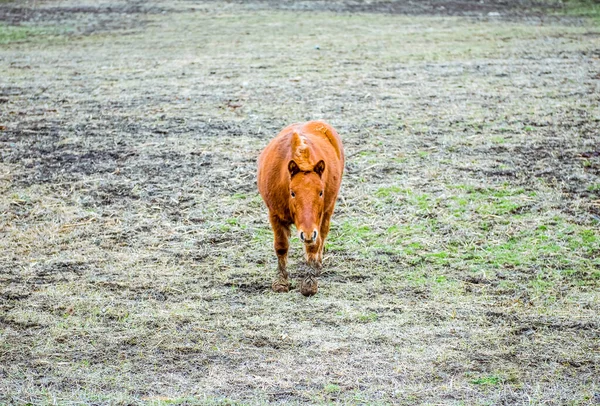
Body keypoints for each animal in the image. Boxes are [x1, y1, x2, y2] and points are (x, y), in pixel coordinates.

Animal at [255, 119, 344, 294]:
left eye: (321, 192)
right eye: (293, 193)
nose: (307, 233)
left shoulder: (316, 221)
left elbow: (313, 245)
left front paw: (309, 282)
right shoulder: (274, 215)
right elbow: (281, 246)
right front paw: (281, 282)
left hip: (328, 210)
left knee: (323, 234)